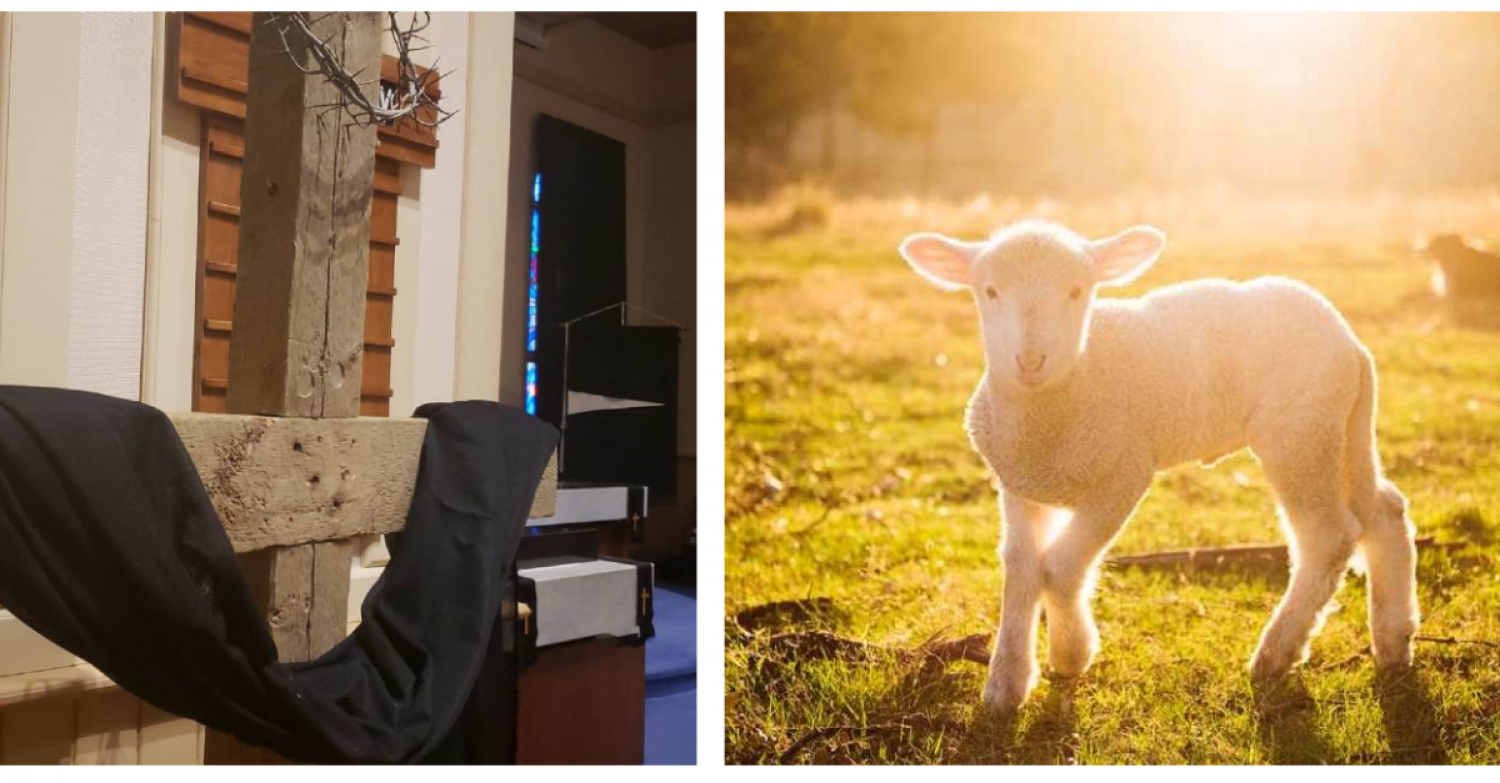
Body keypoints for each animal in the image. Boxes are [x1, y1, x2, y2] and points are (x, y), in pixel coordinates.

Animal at [900, 220, 1420, 713]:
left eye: (1077, 290)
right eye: (989, 291)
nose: (1030, 360)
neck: (1058, 403)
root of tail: (1350, 340)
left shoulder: (1122, 477)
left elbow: (1060, 567)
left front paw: (1071, 653)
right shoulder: (1020, 484)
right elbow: (1021, 567)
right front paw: (1006, 683)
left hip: (1300, 434)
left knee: (1327, 538)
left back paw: (1276, 653)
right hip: (1344, 427)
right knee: (1384, 511)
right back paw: (1394, 641)